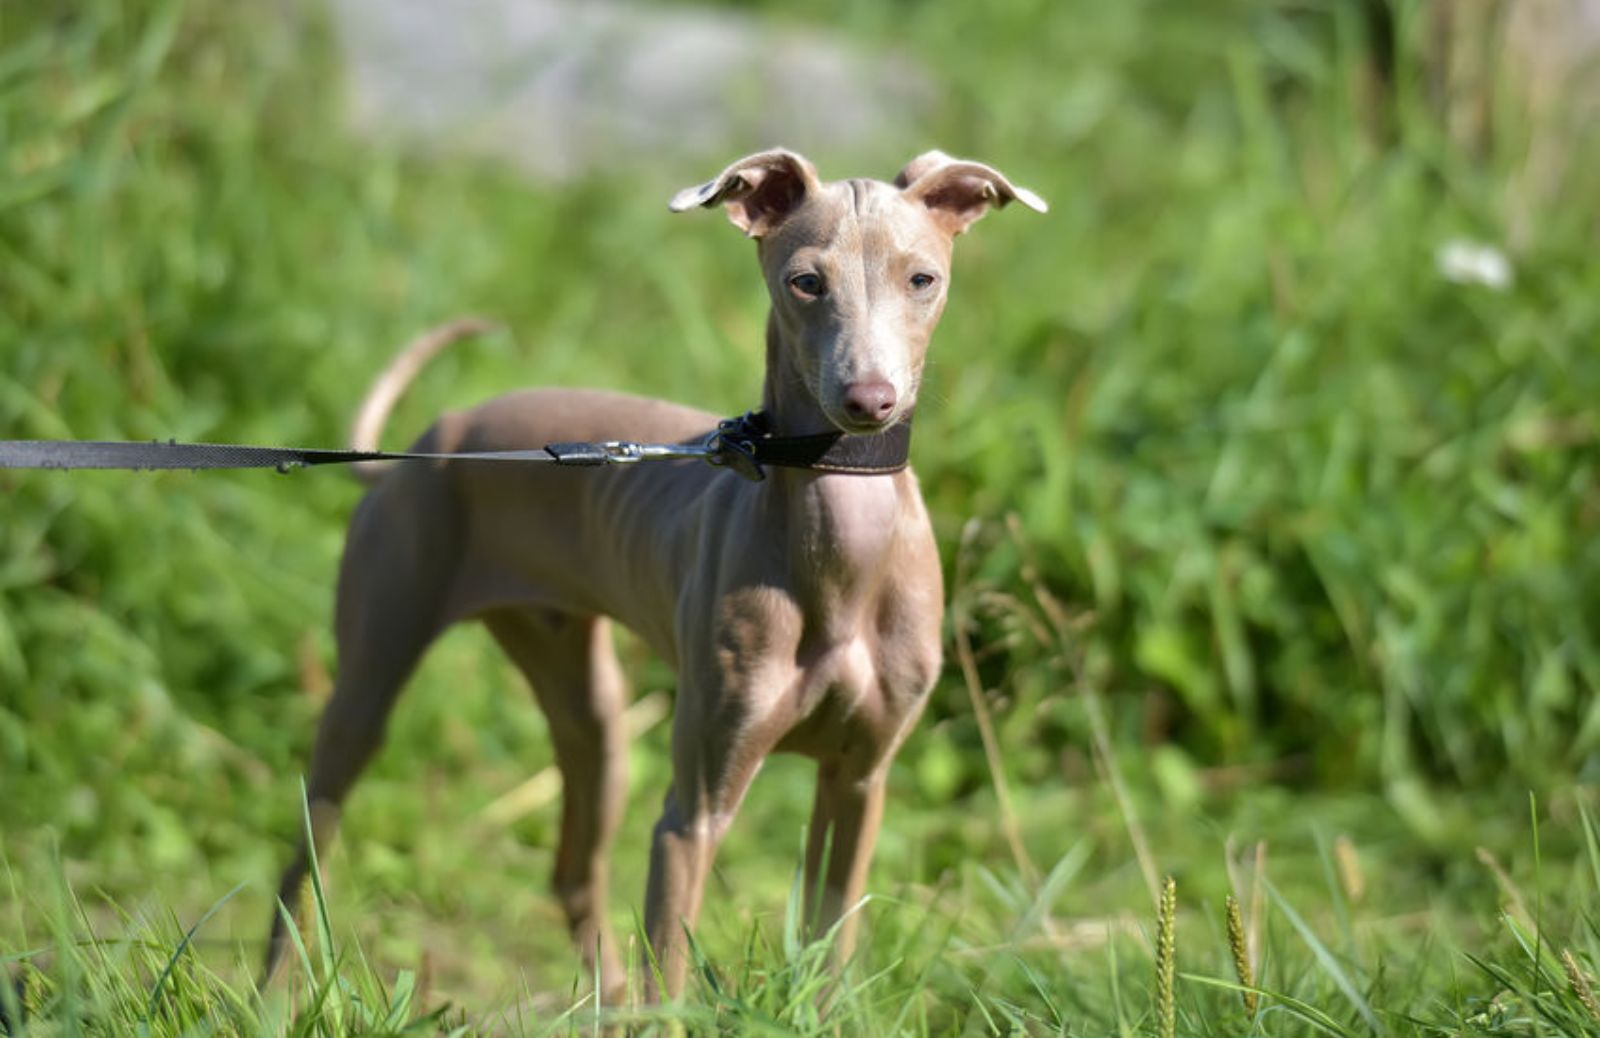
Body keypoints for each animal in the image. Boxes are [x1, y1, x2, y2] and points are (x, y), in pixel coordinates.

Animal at [267, 145, 1043, 998]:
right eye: (806, 281)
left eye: (922, 279)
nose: (868, 400)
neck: (844, 550)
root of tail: (434, 437)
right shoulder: (692, 810)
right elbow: (669, 972)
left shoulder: (860, 781)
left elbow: (829, 945)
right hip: (369, 686)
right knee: (303, 862)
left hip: (591, 712)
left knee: (572, 870)